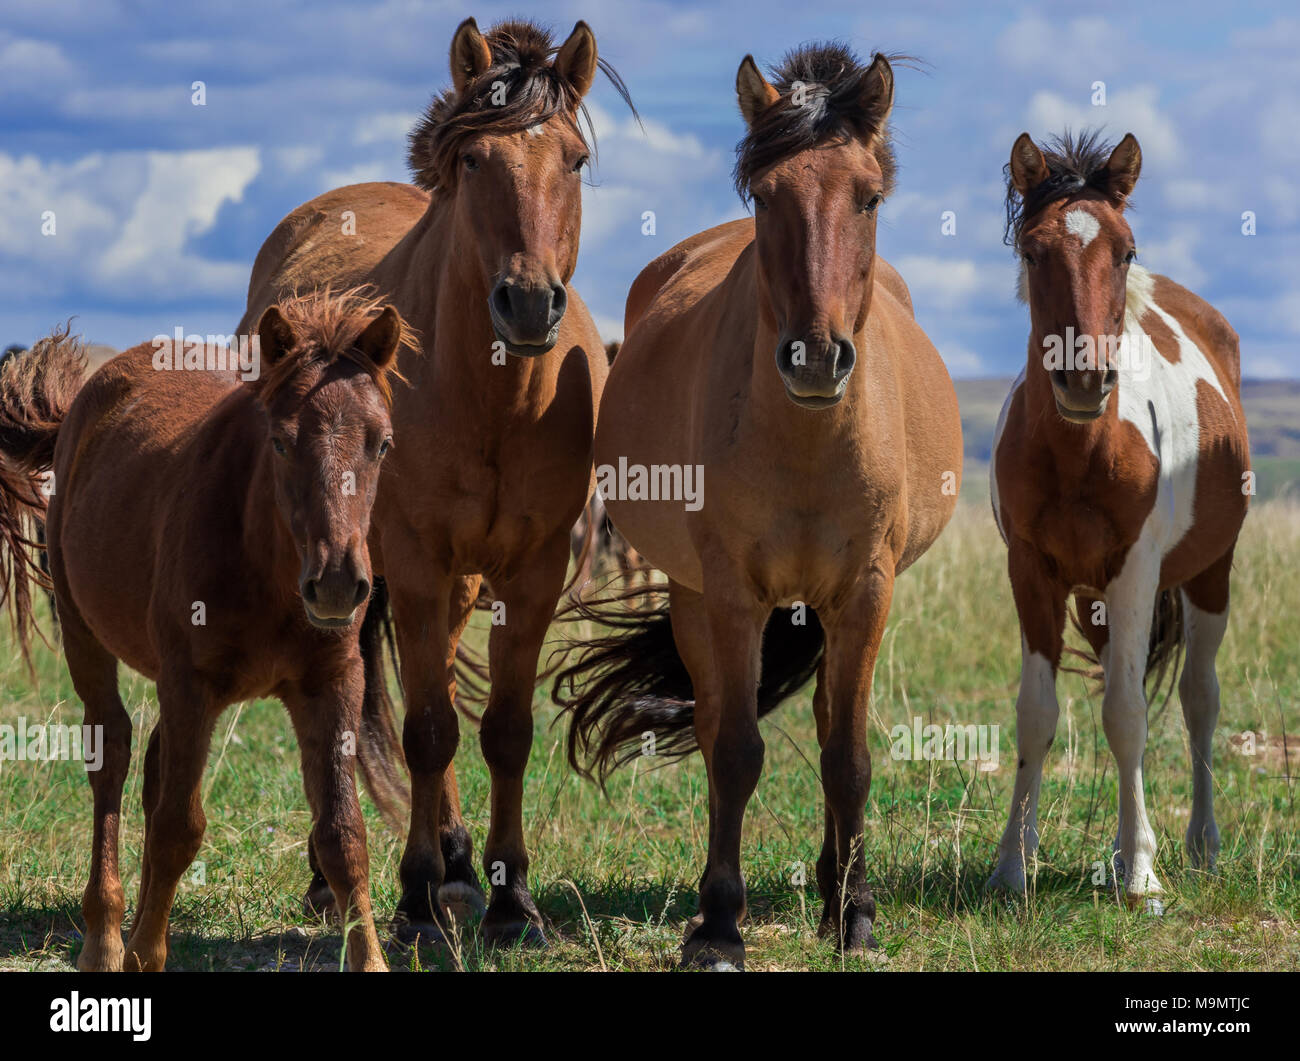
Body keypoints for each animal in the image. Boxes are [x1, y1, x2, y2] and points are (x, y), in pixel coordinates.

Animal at [0, 289, 408, 967]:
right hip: (87, 636)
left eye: (381, 443)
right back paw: (106, 937)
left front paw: (370, 959)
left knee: (153, 766)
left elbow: (343, 835)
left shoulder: (333, 683)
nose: (337, 583)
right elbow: (177, 827)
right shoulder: (191, 683)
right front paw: (143, 953)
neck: (266, 565)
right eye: (281, 442)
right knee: (113, 753)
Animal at [243, 16, 634, 946]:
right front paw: (416, 896)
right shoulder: (415, 563)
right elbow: (425, 731)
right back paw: (345, 877)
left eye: (572, 158)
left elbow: (504, 731)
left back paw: (459, 860)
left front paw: (509, 896)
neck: (496, 400)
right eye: (475, 161)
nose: (527, 303)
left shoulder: (531, 572)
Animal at [551, 45, 967, 967]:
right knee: (716, 729)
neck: (808, 443)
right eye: (767, 196)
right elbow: (736, 752)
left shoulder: (867, 591)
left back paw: (832, 889)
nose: (815, 357)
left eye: (869, 196)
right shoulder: (731, 593)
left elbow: (848, 755)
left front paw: (856, 914)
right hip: (694, 597)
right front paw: (718, 923)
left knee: (826, 722)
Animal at [987, 130, 1253, 910]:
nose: (1083, 378)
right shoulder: (1033, 572)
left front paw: (1141, 875)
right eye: (1033, 251)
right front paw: (1013, 865)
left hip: (1208, 576)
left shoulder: (1137, 571)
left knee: (1197, 700)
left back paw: (1199, 844)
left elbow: (1130, 717)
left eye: (1125, 250)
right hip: (1097, 601)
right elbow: (1038, 714)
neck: (1082, 453)